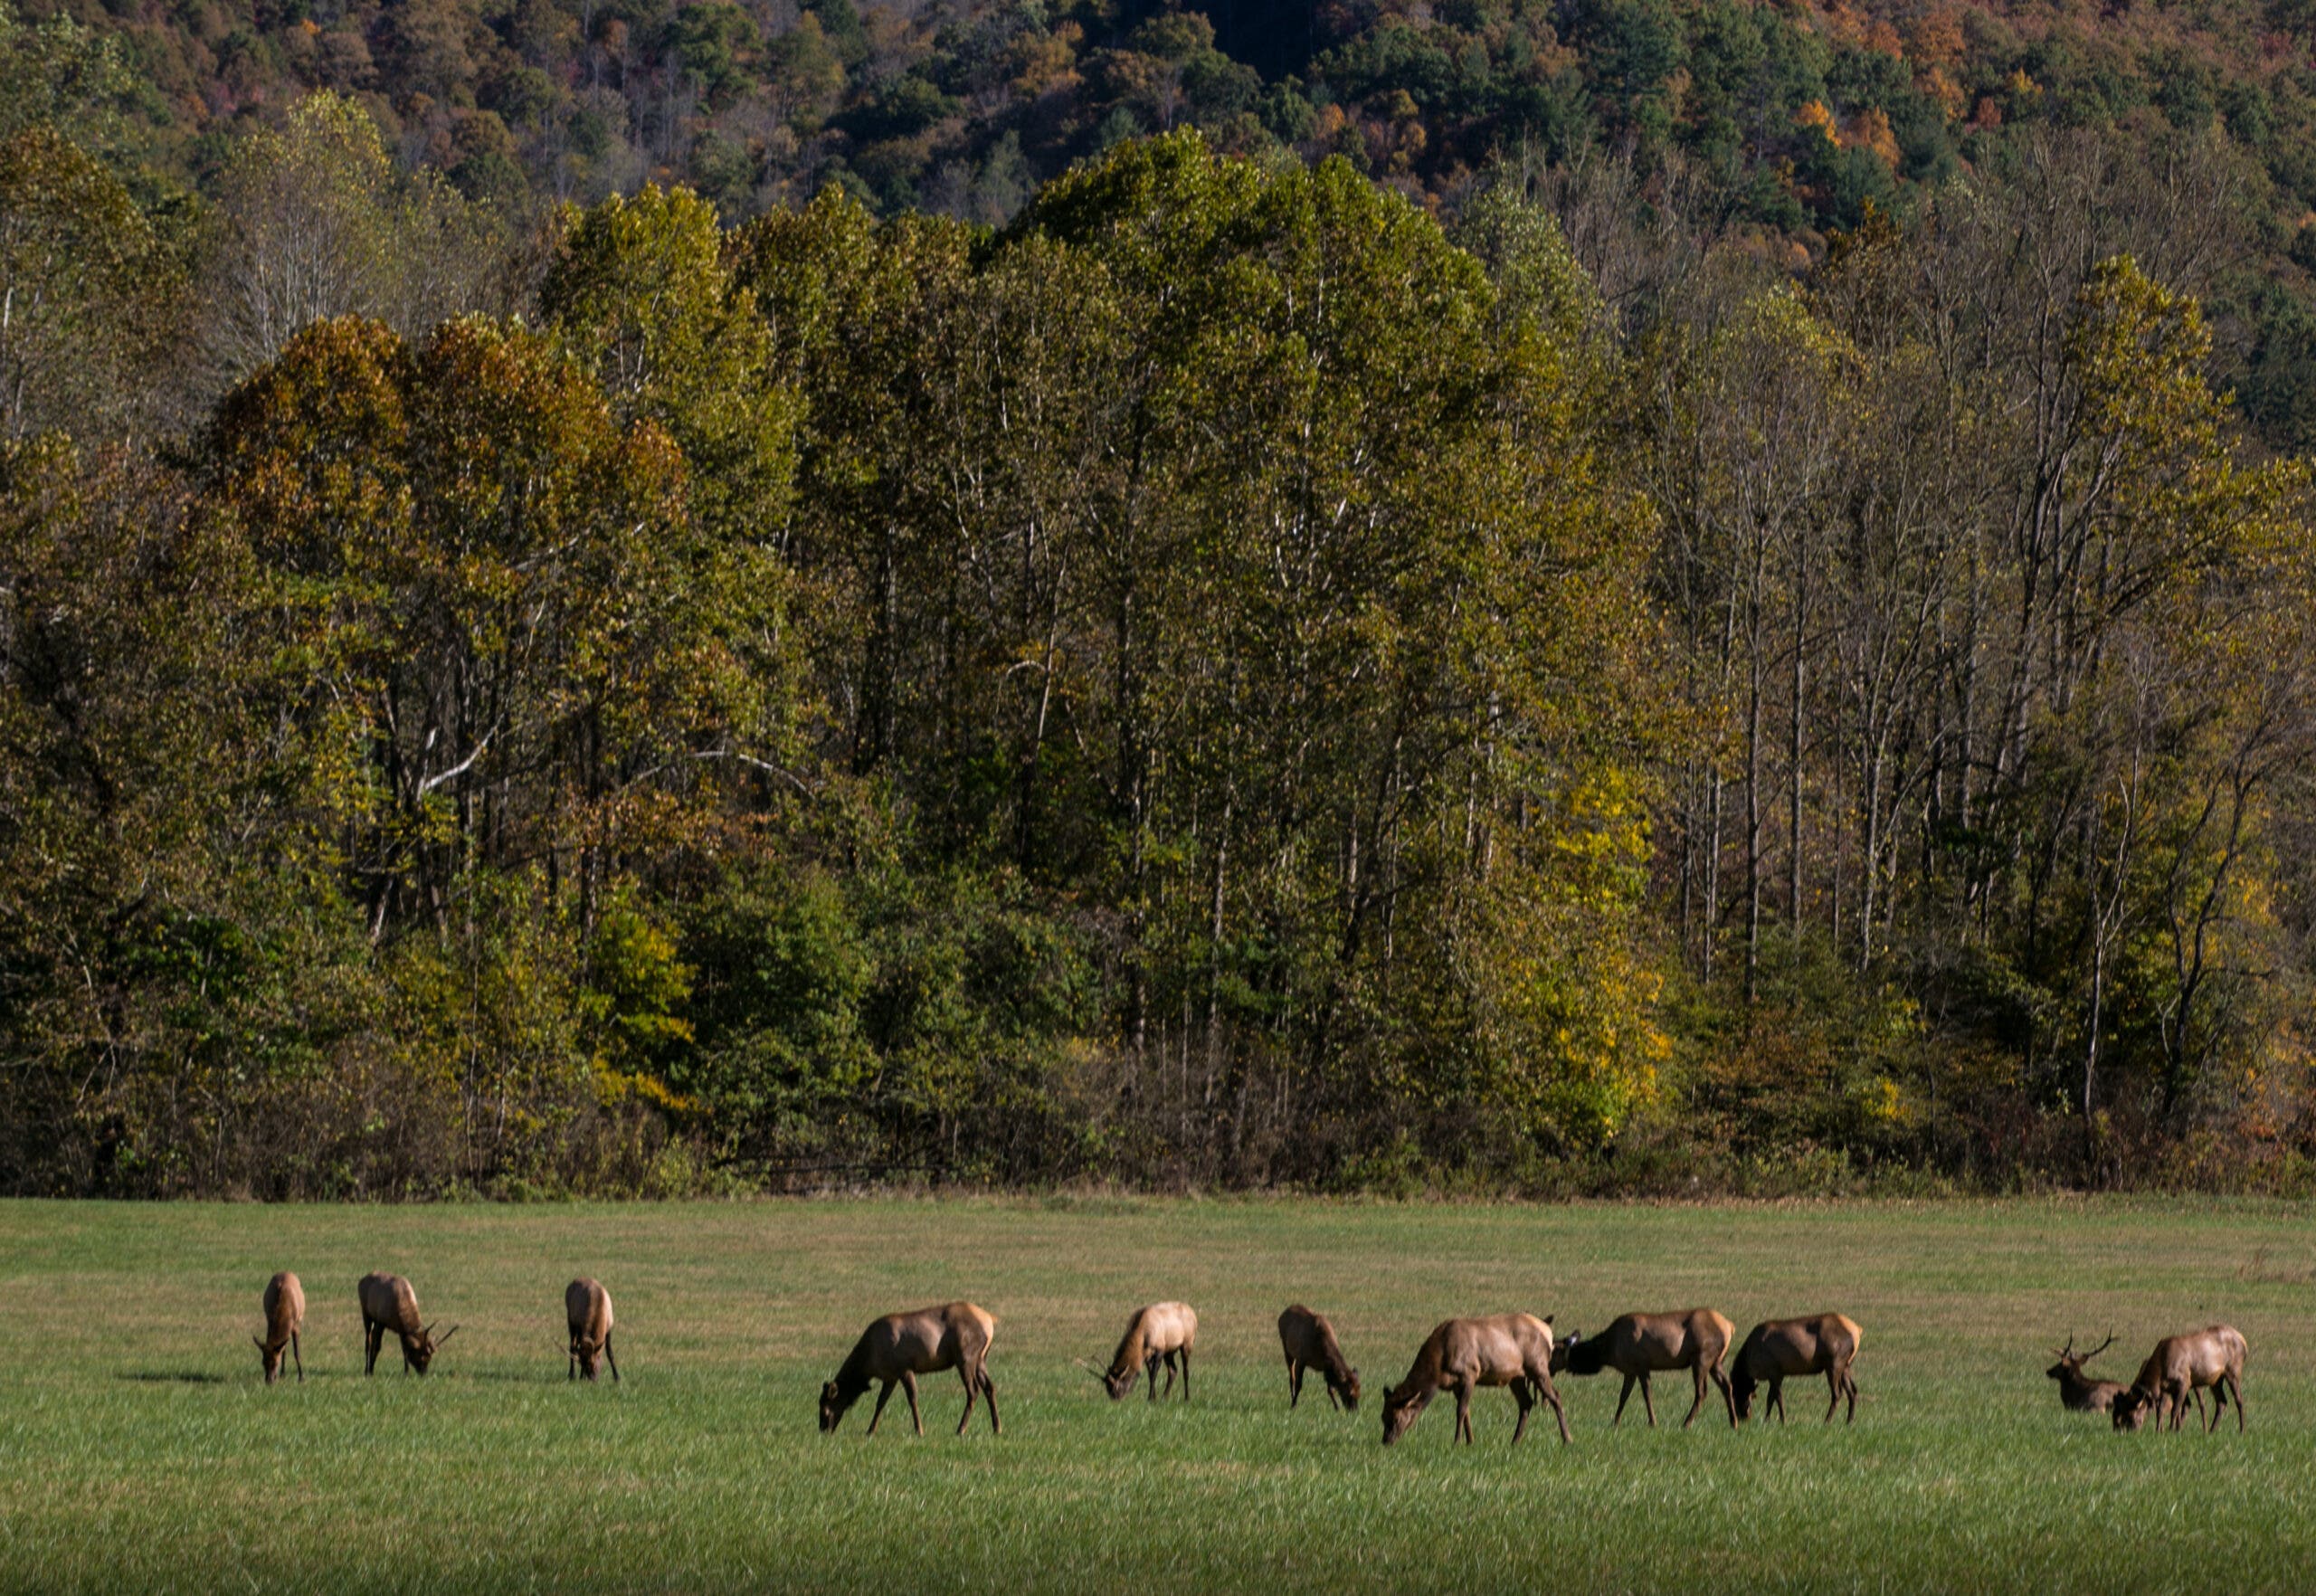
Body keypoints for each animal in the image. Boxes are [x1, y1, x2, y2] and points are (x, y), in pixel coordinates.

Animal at [819, 1302, 999, 1437]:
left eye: (825, 1409)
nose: (822, 1430)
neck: (868, 1361)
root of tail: (990, 1319)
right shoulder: (890, 1376)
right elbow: (880, 1402)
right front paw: (870, 1430)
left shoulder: (904, 1368)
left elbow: (912, 1398)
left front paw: (919, 1430)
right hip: (981, 1359)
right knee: (989, 1388)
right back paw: (997, 1428)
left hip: (965, 1357)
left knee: (973, 1390)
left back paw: (960, 1429)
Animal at [1379, 1313, 1571, 1446]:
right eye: (1382, 1416)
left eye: (1396, 1418)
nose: (1386, 1441)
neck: (1438, 1368)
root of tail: (1548, 1332)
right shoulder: (1455, 1385)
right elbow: (1467, 1412)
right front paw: (1470, 1441)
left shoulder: (1470, 1373)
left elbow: (1461, 1410)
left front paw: (1457, 1441)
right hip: (1516, 1376)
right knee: (1526, 1402)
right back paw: (1515, 1441)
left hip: (1537, 1367)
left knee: (1556, 1397)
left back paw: (1567, 1439)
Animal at [1552, 1308, 1736, 1428]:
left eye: (1557, 1353)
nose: (1551, 1369)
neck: (1608, 1350)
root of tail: (1729, 1326)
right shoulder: (1630, 1371)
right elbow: (1623, 1397)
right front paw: (1615, 1422)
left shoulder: (1641, 1365)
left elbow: (1647, 1395)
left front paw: (1653, 1422)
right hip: (1716, 1362)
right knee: (1727, 1386)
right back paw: (1734, 1422)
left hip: (1701, 1358)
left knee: (1702, 1391)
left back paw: (1686, 1423)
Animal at [1729, 1314, 1862, 1424]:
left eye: (1736, 1397)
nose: (1742, 1418)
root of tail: (1857, 1330)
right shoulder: (1778, 1374)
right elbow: (1771, 1398)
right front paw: (1767, 1420)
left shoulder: (1774, 1371)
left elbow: (1776, 1397)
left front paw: (1782, 1420)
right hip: (1845, 1366)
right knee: (1853, 1392)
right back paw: (1849, 1421)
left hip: (1834, 1364)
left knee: (1837, 1393)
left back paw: (1827, 1421)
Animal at [2111, 1325, 2247, 1433]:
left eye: (2130, 1415)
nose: (2130, 1431)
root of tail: (2243, 1341)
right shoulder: (2167, 1388)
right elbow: (2160, 1410)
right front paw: (2160, 1430)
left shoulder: (2184, 1382)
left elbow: (2175, 1409)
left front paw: (2171, 1430)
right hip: (2216, 1380)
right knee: (2222, 1402)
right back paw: (2211, 1430)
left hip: (2233, 1372)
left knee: (2239, 1400)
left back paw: (2242, 1431)